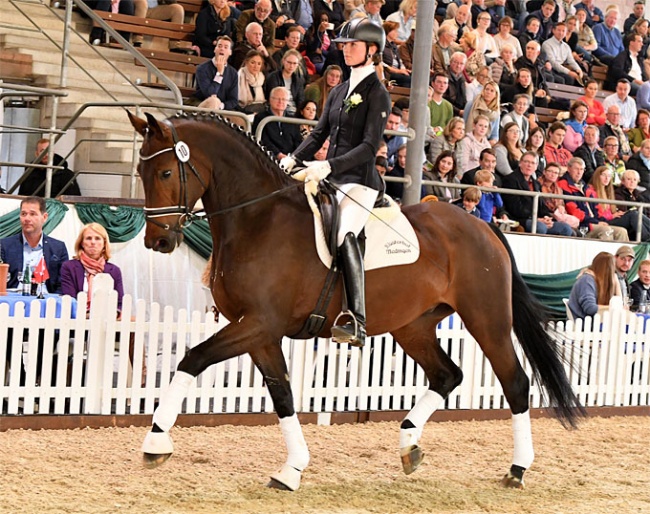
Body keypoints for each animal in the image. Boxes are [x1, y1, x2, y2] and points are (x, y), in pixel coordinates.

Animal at [128, 111, 584, 488]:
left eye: (165, 171)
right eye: (139, 170)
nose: (157, 241)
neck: (258, 219)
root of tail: (482, 226)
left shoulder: (258, 323)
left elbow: (193, 358)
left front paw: (156, 442)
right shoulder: (258, 331)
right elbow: (283, 396)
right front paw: (292, 469)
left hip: (485, 320)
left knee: (515, 382)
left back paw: (517, 468)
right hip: (413, 325)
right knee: (446, 375)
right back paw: (409, 446)